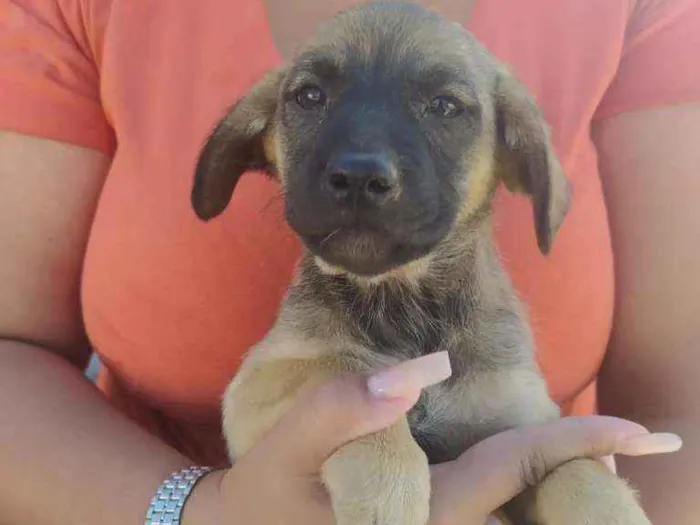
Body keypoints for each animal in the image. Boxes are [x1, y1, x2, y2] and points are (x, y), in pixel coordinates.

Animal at [190, 2, 652, 520]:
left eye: (445, 106)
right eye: (309, 96)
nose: (358, 176)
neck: (406, 304)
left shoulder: (524, 419)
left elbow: (576, 464)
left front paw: (610, 509)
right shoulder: (262, 378)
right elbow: (345, 371)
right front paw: (386, 488)